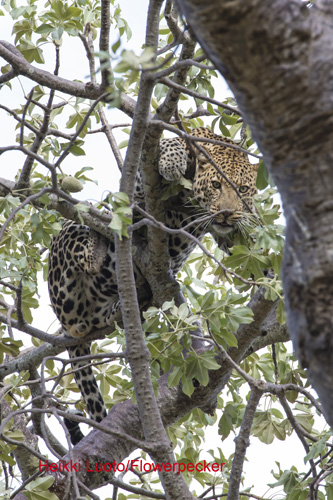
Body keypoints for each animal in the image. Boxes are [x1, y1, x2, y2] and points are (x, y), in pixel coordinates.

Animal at [48, 127, 258, 444]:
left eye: (243, 190)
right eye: (217, 185)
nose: (225, 214)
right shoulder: (139, 187)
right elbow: (170, 143)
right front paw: (172, 162)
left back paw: (125, 304)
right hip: (67, 250)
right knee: (87, 248)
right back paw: (98, 243)